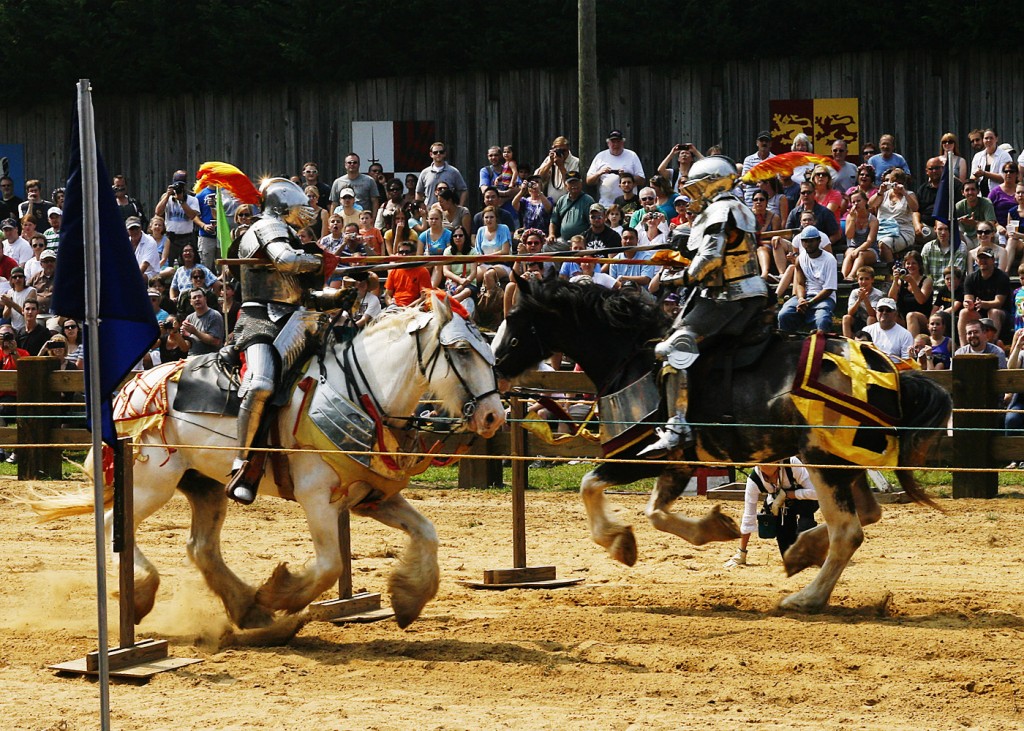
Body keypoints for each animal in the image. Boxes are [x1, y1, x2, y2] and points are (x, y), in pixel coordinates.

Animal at [34, 292, 505, 630]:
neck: (361, 390)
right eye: (462, 350)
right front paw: (280, 594)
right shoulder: (318, 500)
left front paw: (408, 599)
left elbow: (427, 534)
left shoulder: (372, 498)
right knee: (115, 526)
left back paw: (247, 610)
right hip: (151, 482)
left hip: (205, 485)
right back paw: (142, 595)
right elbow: (331, 565)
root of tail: (131, 389)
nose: (493, 416)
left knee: (201, 548)